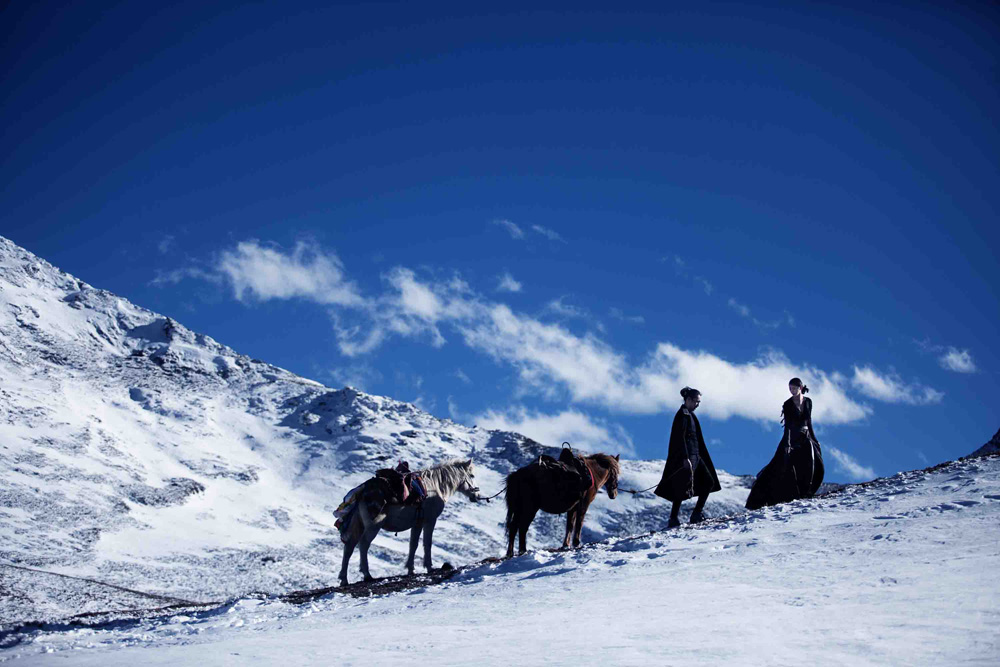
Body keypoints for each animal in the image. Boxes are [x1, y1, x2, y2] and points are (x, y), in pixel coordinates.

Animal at [340, 460, 480, 584]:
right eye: (472, 475)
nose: (477, 496)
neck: (435, 486)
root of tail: (362, 491)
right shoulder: (430, 521)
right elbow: (427, 543)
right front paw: (429, 567)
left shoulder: (417, 523)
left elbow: (413, 545)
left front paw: (410, 569)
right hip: (373, 526)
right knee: (363, 545)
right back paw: (367, 575)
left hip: (359, 525)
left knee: (349, 547)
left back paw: (344, 579)